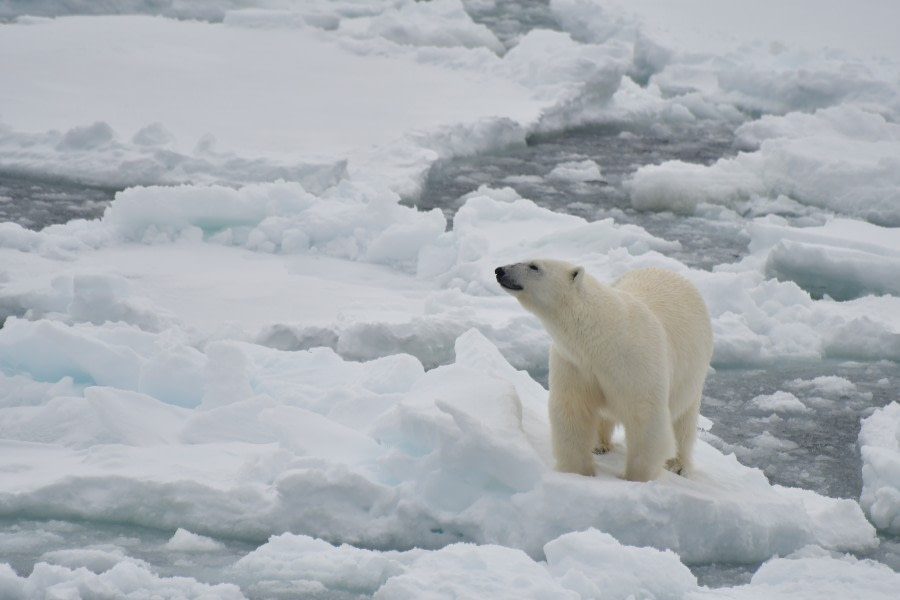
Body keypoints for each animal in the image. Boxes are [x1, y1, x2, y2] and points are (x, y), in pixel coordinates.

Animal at [496, 260, 712, 480]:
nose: (499, 271)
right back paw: (599, 445)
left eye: (534, 266)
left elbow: (645, 418)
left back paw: (678, 464)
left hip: (693, 370)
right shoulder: (575, 363)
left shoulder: (636, 363)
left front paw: (636, 477)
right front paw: (577, 471)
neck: (603, 338)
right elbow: (573, 411)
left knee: (683, 419)